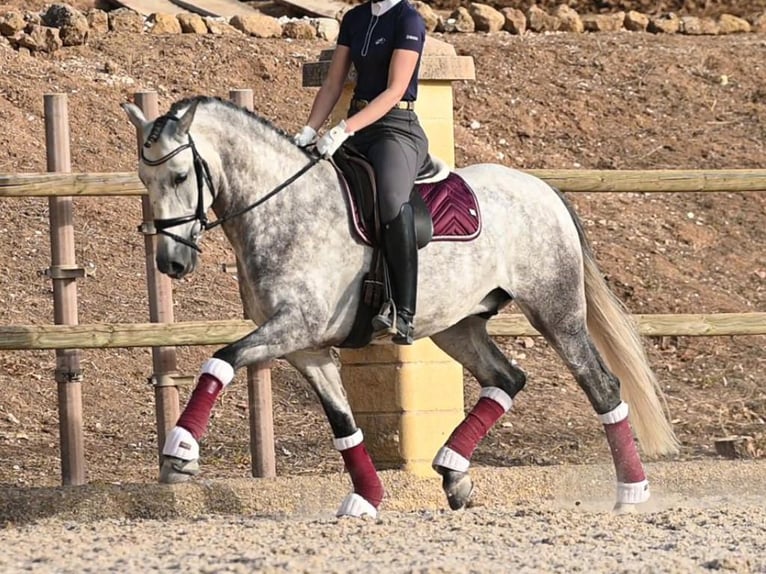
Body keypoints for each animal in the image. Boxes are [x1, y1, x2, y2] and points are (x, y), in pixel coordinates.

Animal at [123, 97, 680, 520]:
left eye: (179, 176)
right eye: (144, 180)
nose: (171, 262)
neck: (286, 208)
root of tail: (541, 188)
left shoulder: (293, 327)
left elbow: (220, 360)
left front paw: (180, 454)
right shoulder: (306, 348)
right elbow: (344, 424)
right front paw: (366, 498)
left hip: (556, 313)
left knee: (602, 386)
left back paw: (632, 492)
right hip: (456, 326)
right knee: (507, 378)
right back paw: (454, 474)